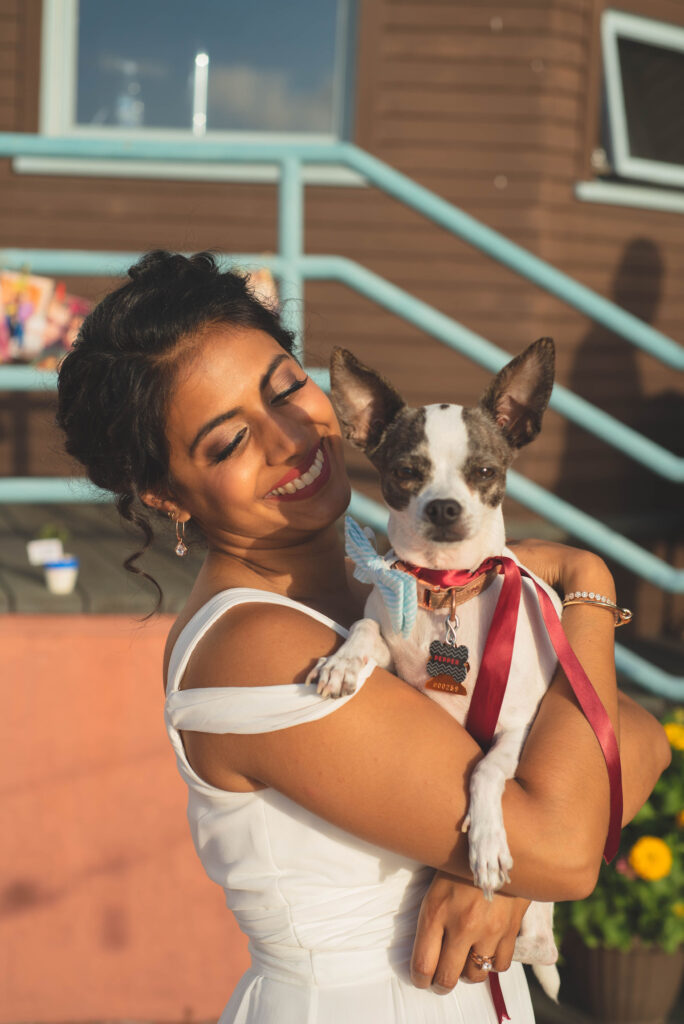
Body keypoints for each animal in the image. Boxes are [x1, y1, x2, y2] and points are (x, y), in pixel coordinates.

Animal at [309, 337, 561, 999]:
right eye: (406, 472)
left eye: (485, 473)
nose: (444, 506)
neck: (447, 588)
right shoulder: (392, 643)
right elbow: (368, 627)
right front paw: (343, 662)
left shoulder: (518, 726)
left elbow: (489, 768)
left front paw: (489, 841)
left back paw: (537, 937)